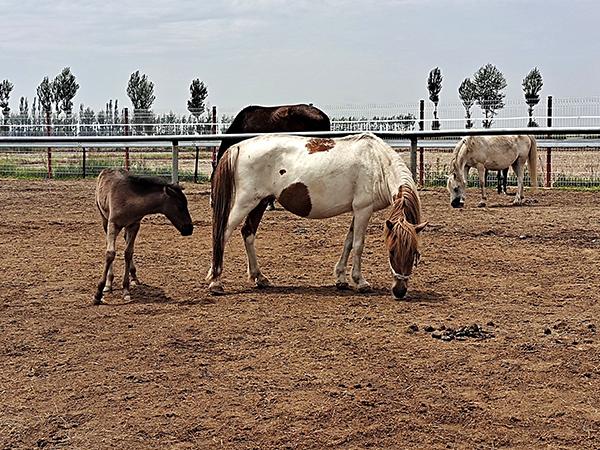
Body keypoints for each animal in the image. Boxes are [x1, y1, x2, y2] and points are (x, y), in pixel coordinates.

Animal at [94, 171, 193, 304]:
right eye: (180, 206)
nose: (189, 228)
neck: (129, 200)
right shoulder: (113, 224)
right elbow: (110, 253)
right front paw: (99, 292)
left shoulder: (134, 225)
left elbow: (128, 253)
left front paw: (126, 290)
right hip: (104, 219)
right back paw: (109, 284)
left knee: (126, 242)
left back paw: (134, 277)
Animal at [207, 132, 426, 300]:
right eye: (392, 251)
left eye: (415, 253)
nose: (400, 291)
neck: (376, 162)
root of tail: (239, 146)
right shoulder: (364, 209)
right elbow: (358, 245)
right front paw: (360, 281)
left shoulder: (357, 210)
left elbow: (348, 242)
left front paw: (341, 279)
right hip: (245, 203)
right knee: (223, 234)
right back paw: (216, 281)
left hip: (260, 202)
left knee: (248, 233)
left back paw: (259, 277)